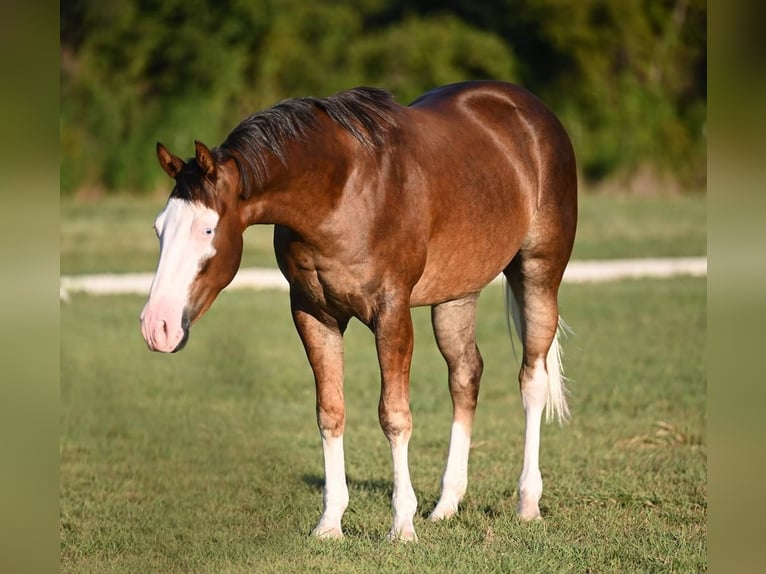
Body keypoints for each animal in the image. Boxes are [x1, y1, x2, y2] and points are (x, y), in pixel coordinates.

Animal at [141, 81, 580, 544]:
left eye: (206, 229)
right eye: (158, 228)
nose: (157, 326)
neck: (340, 193)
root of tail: (529, 109)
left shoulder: (391, 314)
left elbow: (394, 416)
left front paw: (402, 525)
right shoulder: (313, 314)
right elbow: (330, 413)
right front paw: (330, 523)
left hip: (538, 274)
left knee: (532, 379)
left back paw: (527, 503)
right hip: (457, 294)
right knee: (465, 376)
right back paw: (445, 505)